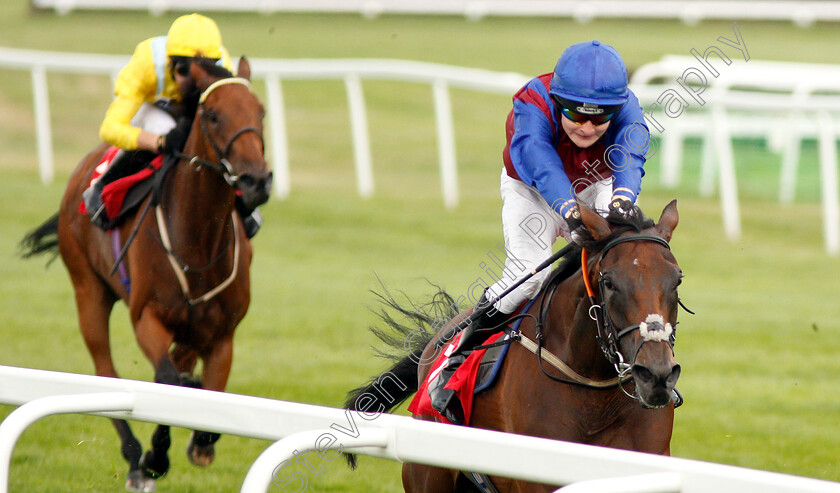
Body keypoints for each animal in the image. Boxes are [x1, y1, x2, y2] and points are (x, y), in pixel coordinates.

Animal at [18, 56, 270, 488]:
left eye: (261, 113)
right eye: (214, 115)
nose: (257, 181)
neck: (199, 241)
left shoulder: (221, 335)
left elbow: (207, 397)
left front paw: (199, 438)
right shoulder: (147, 318)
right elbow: (165, 380)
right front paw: (155, 456)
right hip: (88, 289)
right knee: (106, 370)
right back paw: (136, 457)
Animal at [346, 201, 684, 492]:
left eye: (677, 280)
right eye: (610, 283)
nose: (655, 376)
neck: (594, 391)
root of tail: (437, 339)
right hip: (428, 472)